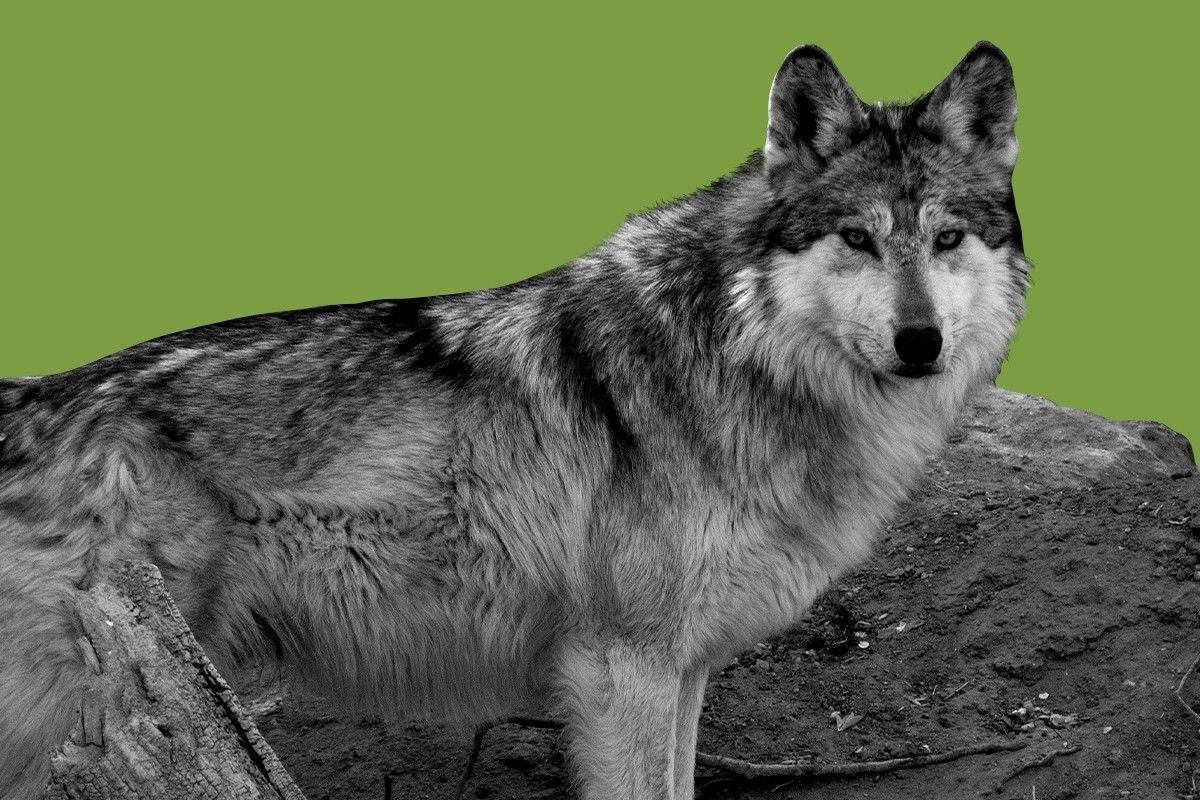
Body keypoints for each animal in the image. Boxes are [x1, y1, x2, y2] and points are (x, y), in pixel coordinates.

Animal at [0, 41, 1026, 799]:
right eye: (856, 238)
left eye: (947, 239)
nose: (921, 342)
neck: (736, 358)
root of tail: (29, 396)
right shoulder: (621, 670)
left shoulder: (683, 667)